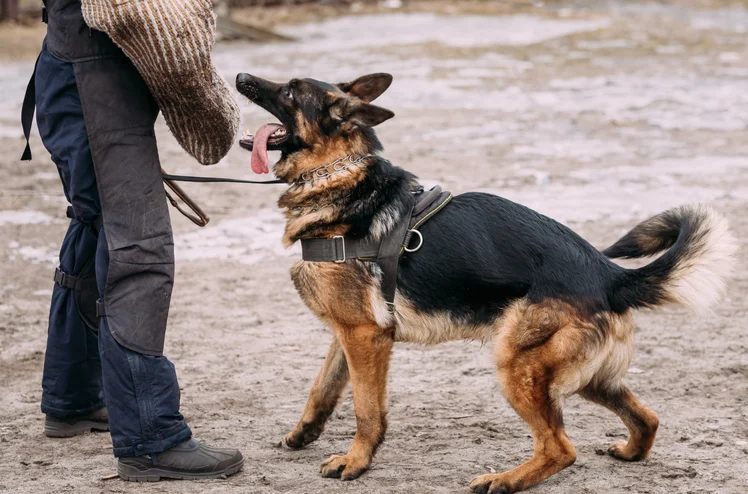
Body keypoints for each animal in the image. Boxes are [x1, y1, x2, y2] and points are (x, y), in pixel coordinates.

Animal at [235, 71, 736, 492]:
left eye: (290, 91)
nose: (240, 76)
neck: (337, 172)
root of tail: (609, 273)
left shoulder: (365, 336)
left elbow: (366, 410)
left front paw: (356, 462)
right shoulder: (352, 332)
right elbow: (322, 388)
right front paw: (303, 434)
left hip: (516, 363)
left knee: (561, 447)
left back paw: (506, 480)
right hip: (586, 376)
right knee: (647, 418)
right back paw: (630, 451)